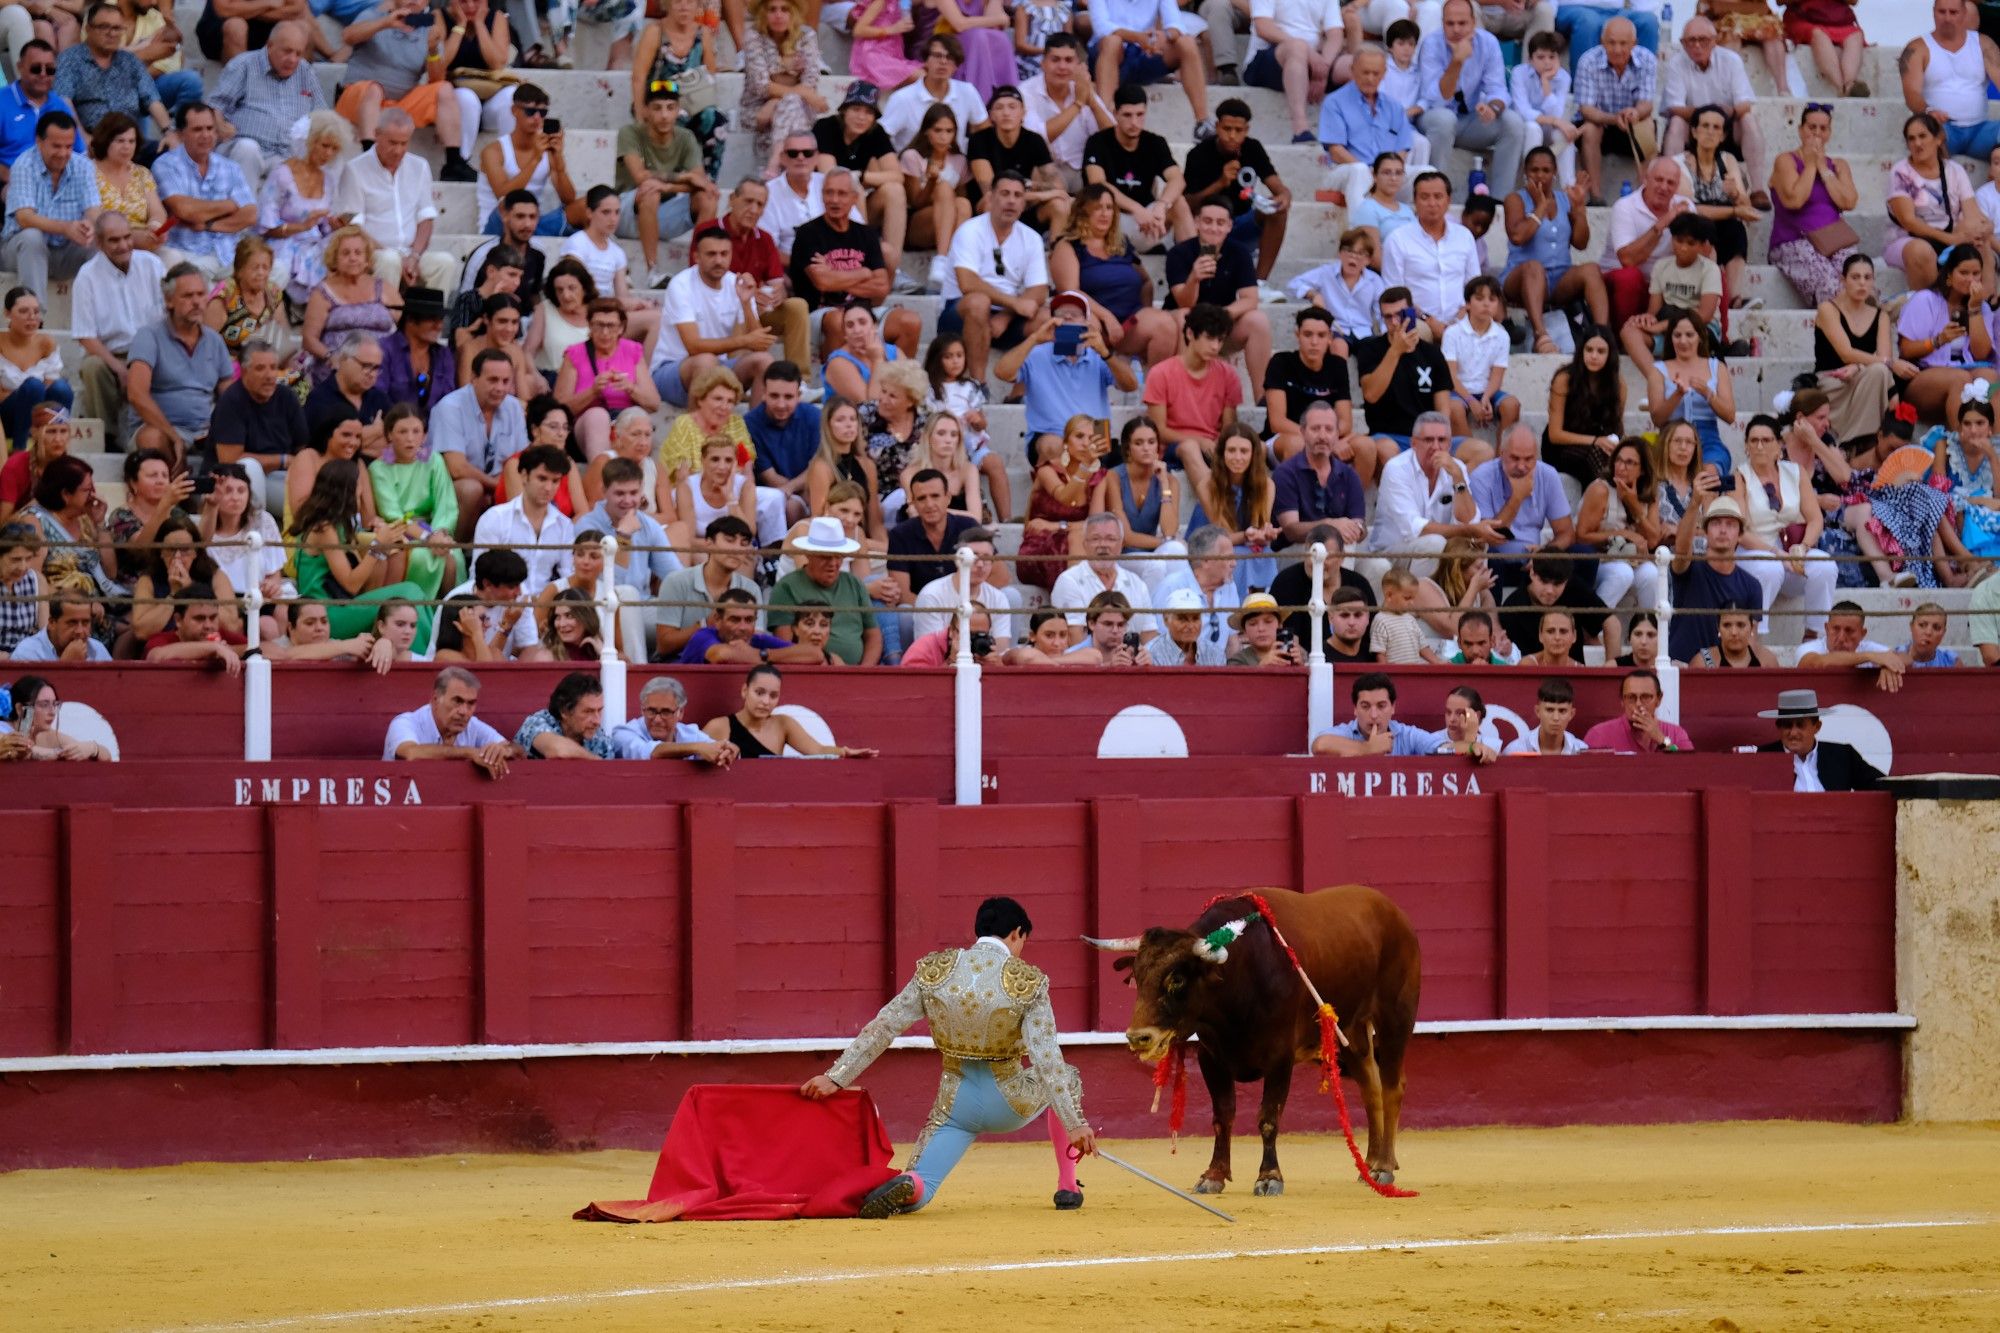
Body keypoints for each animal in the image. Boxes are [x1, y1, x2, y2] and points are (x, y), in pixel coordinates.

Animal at [1080, 888, 1424, 1184]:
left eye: (1177, 979)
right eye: (1137, 977)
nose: (1139, 1038)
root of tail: (1395, 914)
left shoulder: (1281, 1057)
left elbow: (1268, 1117)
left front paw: (1269, 1177)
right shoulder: (1211, 1058)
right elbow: (1222, 1116)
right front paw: (1214, 1175)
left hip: (1395, 1020)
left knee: (1392, 1087)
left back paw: (1383, 1167)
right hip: (1351, 1031)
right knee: (1371, 1086)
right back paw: (1370, 1164)